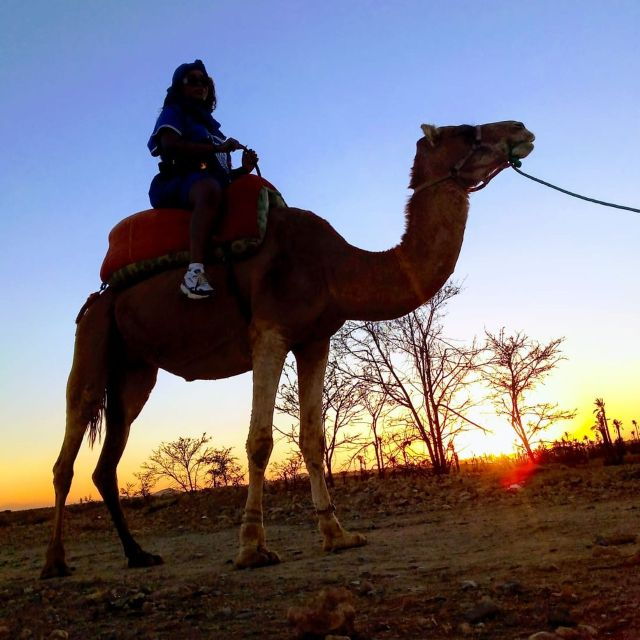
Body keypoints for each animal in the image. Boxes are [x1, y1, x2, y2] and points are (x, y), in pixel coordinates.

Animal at [40, 120, 534, 578]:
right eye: (465, 131)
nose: (521, 129)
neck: (334, 267)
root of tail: (99, 295)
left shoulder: (315, 339)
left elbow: (313, 437)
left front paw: (337, 535)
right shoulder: (269, 333)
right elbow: (259, 440)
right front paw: (252, 548)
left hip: (135, 371)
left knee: (107, 459)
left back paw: (138, 553)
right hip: (92, 339)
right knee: (69, 444)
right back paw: (55, 562)